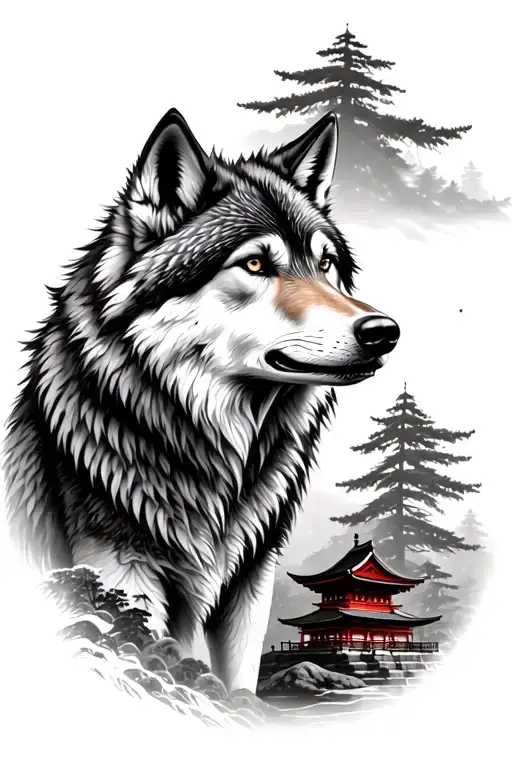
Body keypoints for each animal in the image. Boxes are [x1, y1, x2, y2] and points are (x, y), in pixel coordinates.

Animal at [3, 108, 399, 694]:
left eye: (325, 264)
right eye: (255, 265)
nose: (384, 332)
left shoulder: (249, 580)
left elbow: (237, 681)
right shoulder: (118, 567)